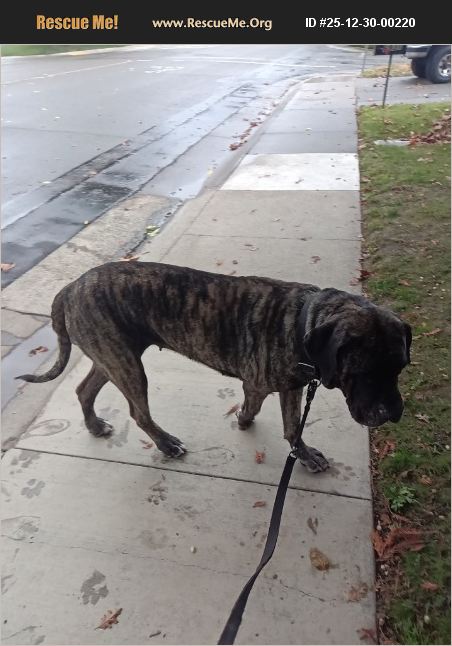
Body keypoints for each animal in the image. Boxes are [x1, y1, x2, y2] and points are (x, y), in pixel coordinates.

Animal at [17, 261, 411, 473]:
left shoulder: (291, 387)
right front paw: (244, 420)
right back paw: (165, 443)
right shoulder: (259, 384)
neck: (301, 322)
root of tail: (69, 287)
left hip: (111, 357)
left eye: (400, 368)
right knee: (138, 412)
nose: (393, 412)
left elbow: (291, 426)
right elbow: (254, 406)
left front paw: (303, 452)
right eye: (364, 372)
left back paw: (94, 425)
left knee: (84, 389)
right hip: (124, 363)